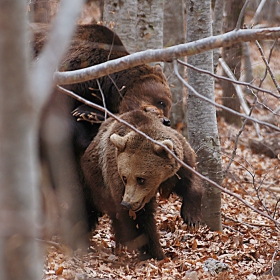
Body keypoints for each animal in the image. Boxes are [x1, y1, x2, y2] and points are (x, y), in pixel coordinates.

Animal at [80, 110, 202, 260]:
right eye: (125, 177)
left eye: (141, 179)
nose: (127, 203)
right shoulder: (115, 177)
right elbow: (140, 220)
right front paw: (155, 253)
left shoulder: (179, 165)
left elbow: (191, 182)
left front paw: (192, 219)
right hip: (93, 181)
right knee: (88, 208)